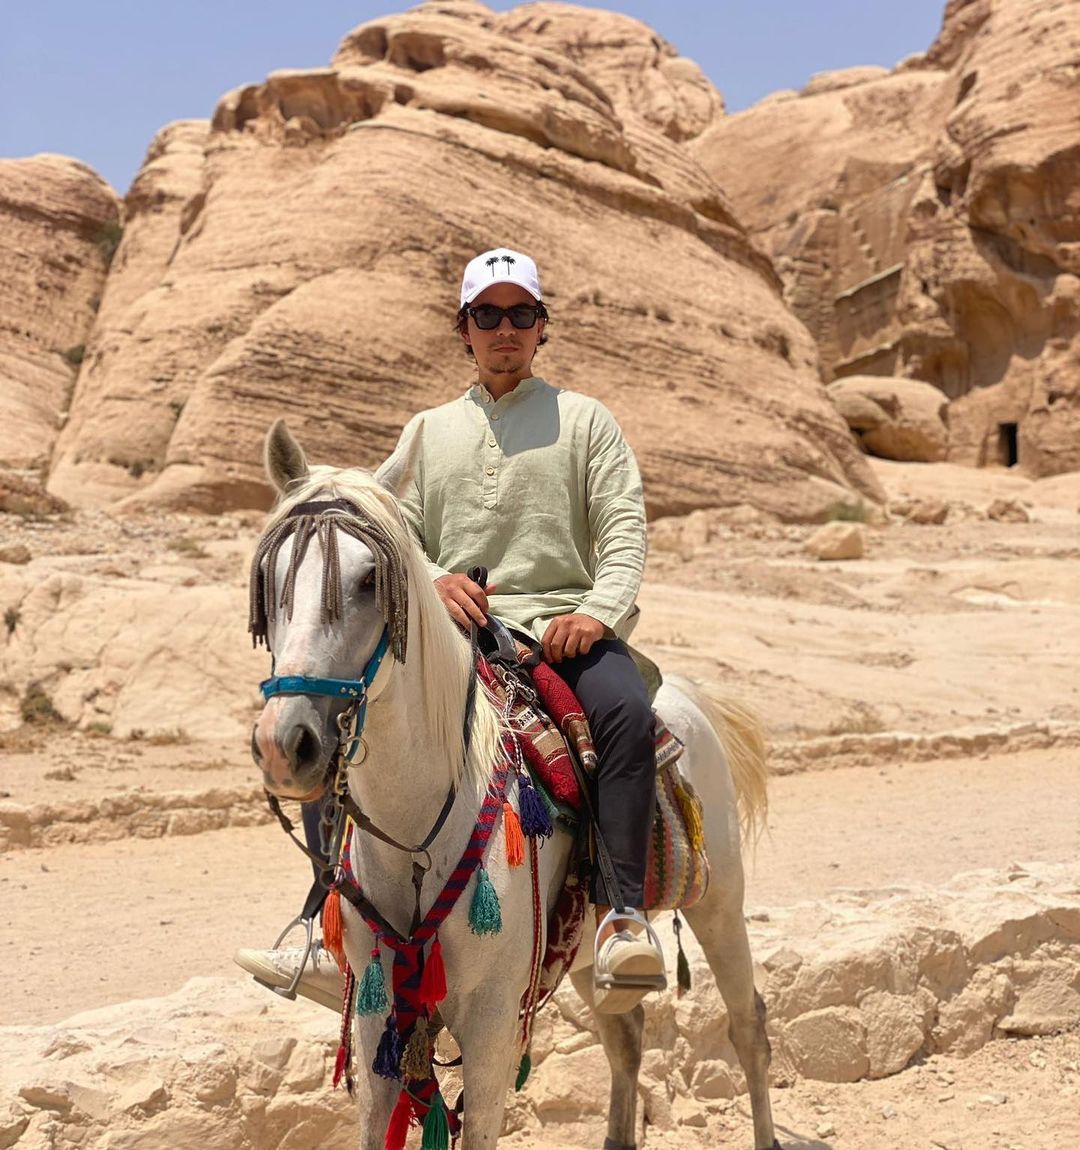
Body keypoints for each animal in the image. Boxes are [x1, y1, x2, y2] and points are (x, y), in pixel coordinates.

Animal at [250, 419, 781, 1150]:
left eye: (368, 579)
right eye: (269, 577)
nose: (288, 744)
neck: (418, 835)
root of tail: (687, 699)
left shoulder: (492, 1021)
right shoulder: (379, 1015)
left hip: (720, 903)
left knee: (747, 1026)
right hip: (580, 954)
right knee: (626, 1034)